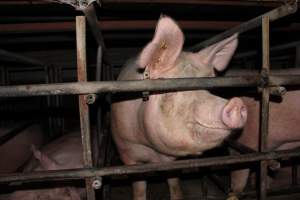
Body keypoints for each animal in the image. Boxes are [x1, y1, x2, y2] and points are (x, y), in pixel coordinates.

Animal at [111, 16, 247, 200]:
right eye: (172, 91)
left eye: (209, 88)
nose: (236, 102)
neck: (151, 150)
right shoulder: (126, 152)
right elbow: (139, 188)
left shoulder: (170, 160)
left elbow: (174, 184)